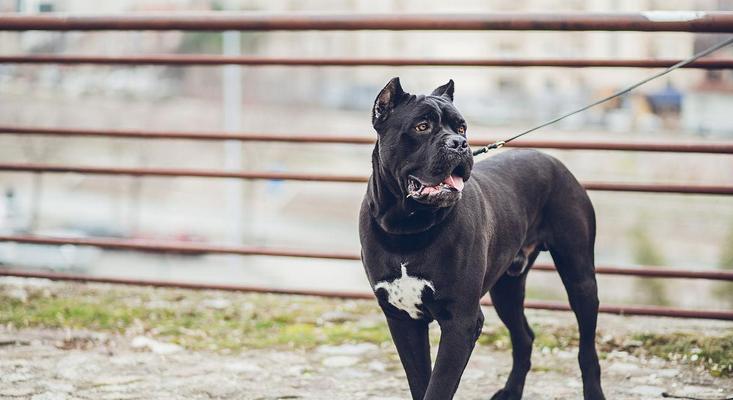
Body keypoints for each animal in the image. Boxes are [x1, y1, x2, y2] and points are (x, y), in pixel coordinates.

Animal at [358, 79, 604, 400]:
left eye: (462, 128)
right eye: (422, 126)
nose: (459, 144)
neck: (407, 228)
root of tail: (553, 160)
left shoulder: (461, 321)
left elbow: (439, 385)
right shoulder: (402, 318)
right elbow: (420, 381)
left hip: (579, 276)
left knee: (587, 349)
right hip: (507, 289)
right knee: (524, 337)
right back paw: (510, 392)